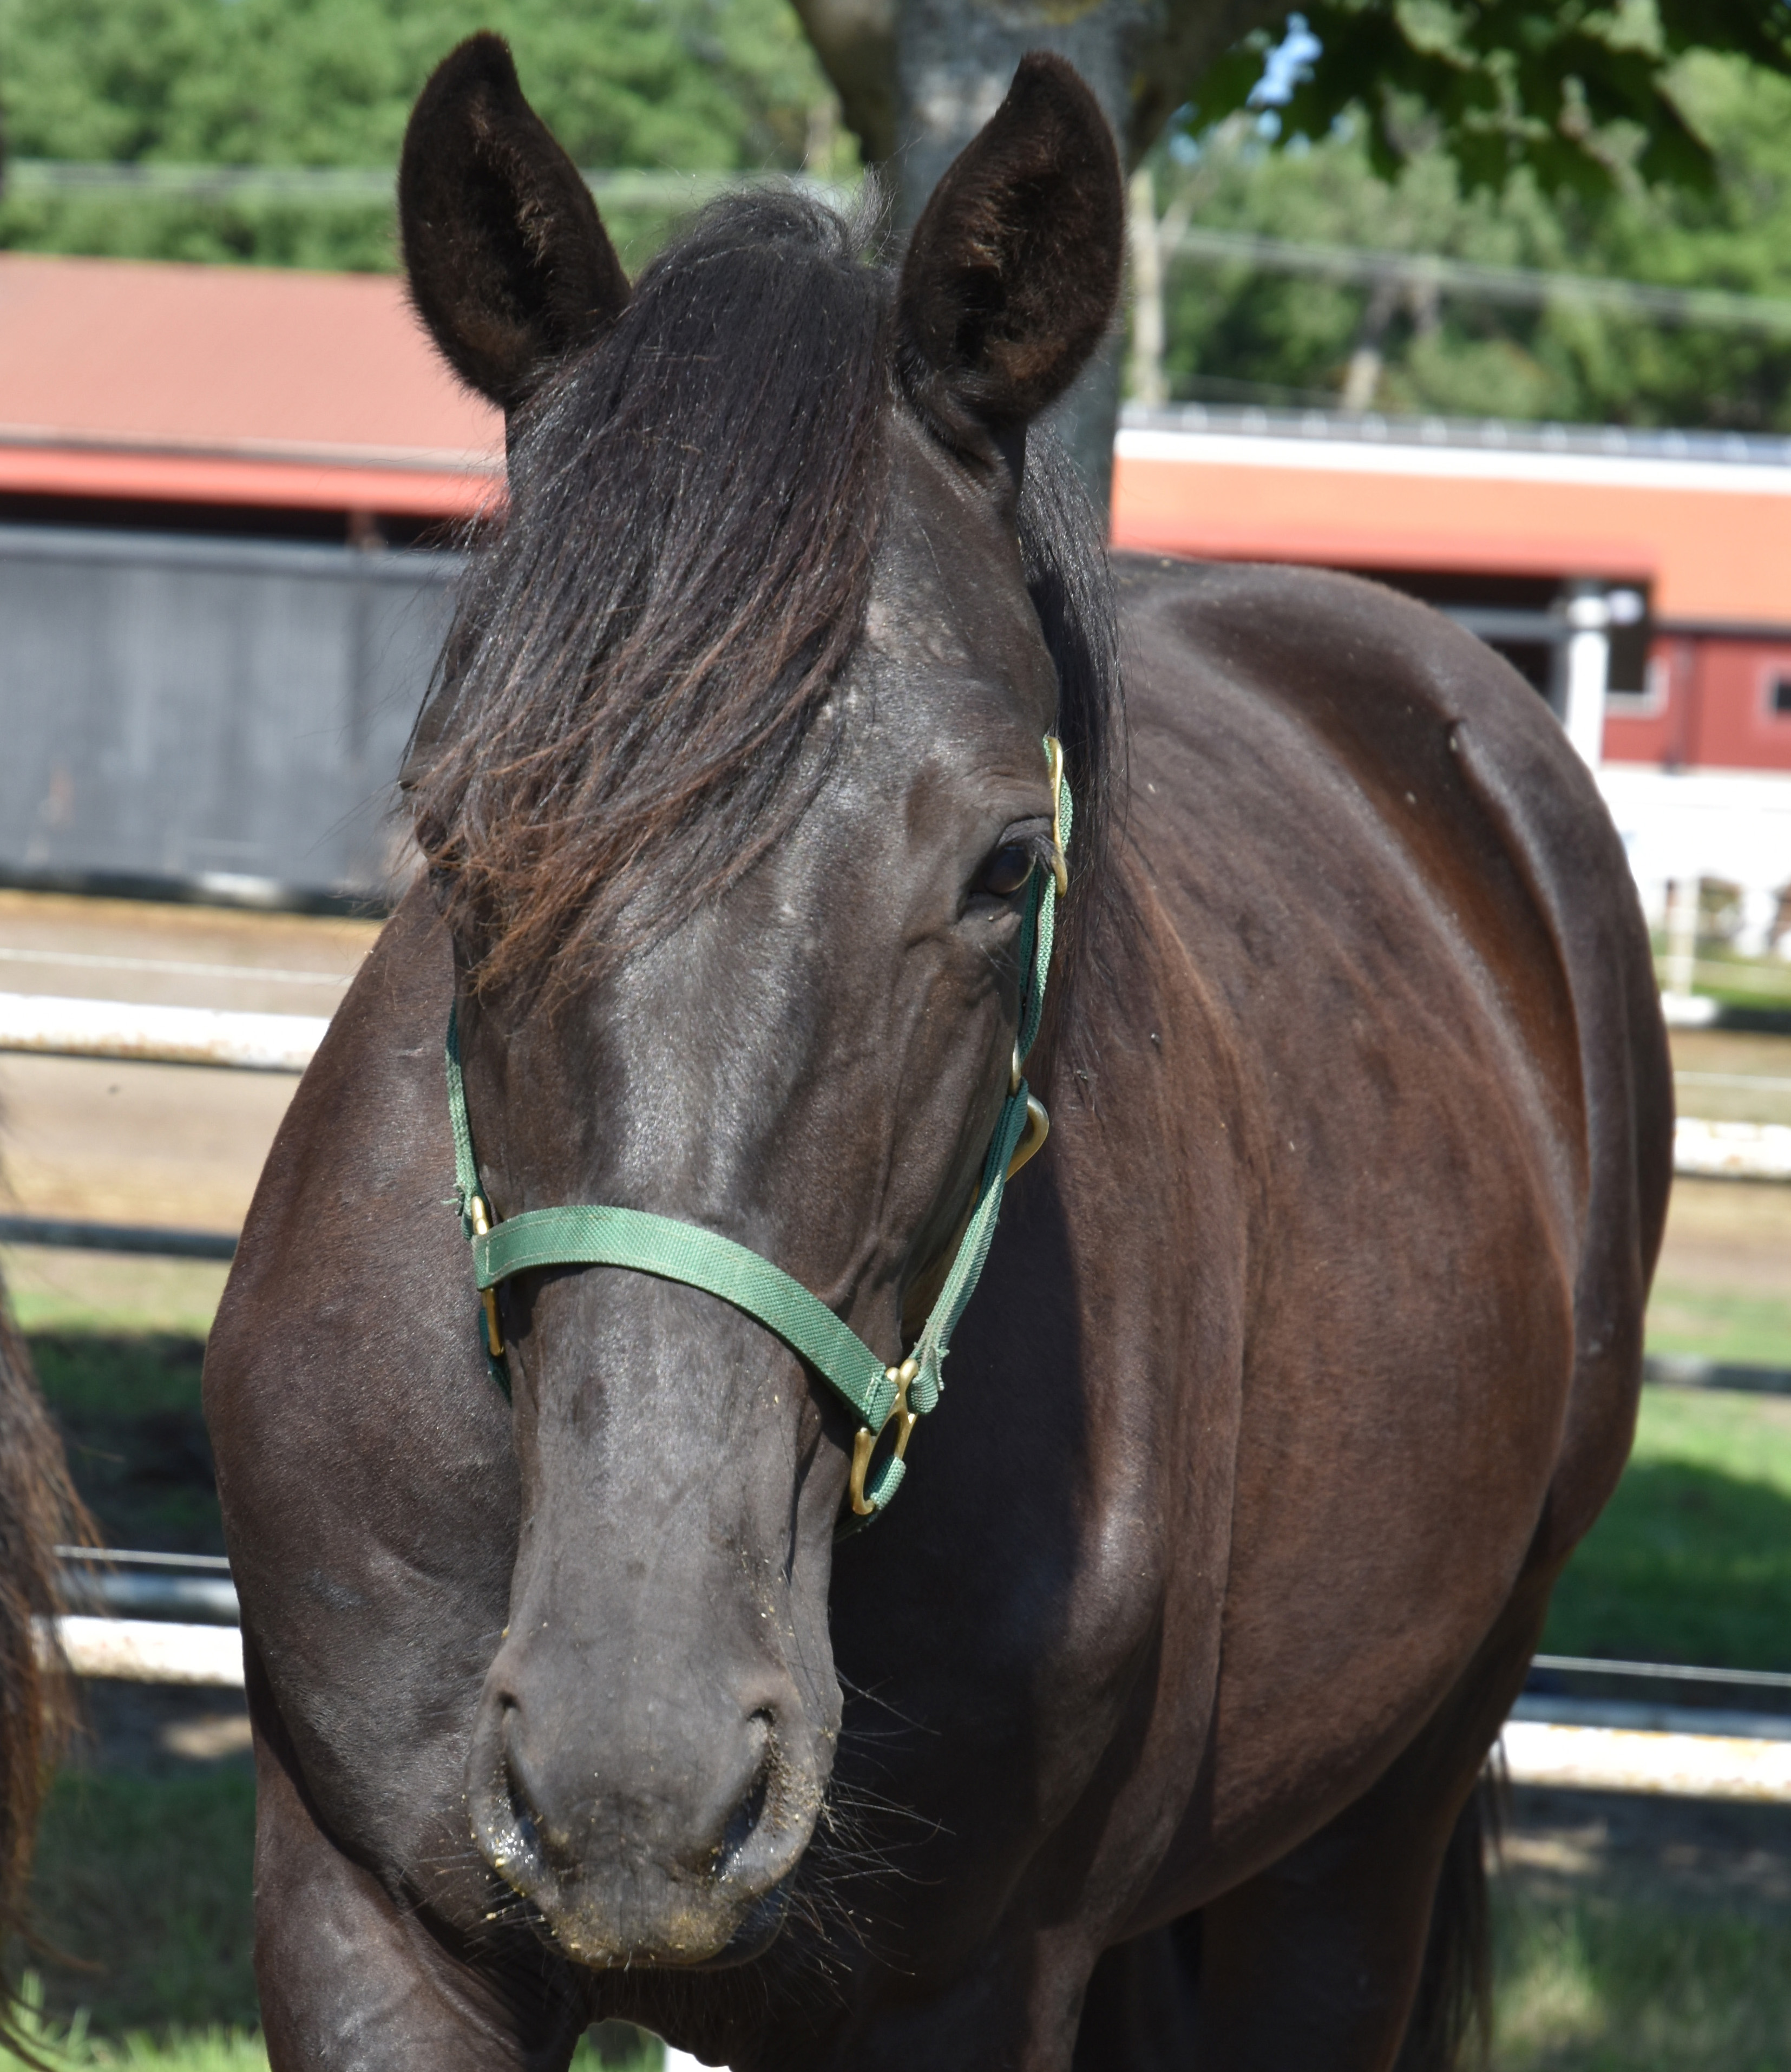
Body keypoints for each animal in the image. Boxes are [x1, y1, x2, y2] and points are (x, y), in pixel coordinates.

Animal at [203, 36, 1675, 2072]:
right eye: (452, 828)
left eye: (1005, 864)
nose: (635, 1763)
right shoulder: (363, 1927)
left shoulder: (974, 1988)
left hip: (1366, 1821)